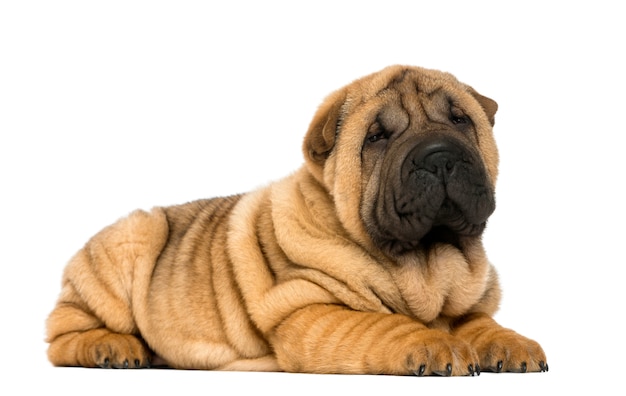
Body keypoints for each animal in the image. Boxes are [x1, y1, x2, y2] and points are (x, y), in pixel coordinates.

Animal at [46, 64, 544, 374]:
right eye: (377, 137)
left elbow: (479, 322)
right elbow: (383, 324)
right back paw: (112, 347)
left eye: (461, 120)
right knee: (61, 335)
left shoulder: (467, 302)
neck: (428, 262)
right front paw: (436, 344)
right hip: (135, 238)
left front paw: (512, 343)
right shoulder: (308, 308)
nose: (440, 156)